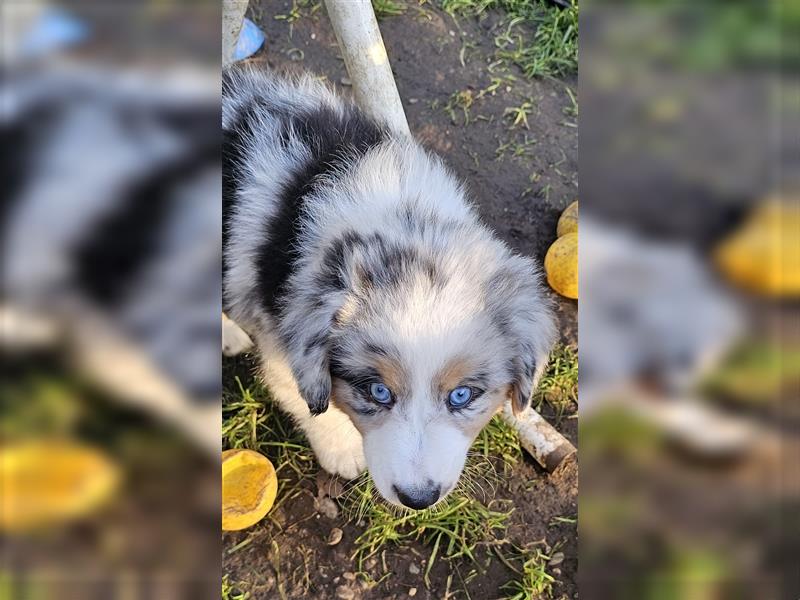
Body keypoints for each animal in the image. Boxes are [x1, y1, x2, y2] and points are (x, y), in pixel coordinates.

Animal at [222, 68, 552, 512]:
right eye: (377, 391)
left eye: (462, 395)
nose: (418, 499)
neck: (402, 217)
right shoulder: (282, 343)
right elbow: (304, 399)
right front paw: (343, 452)